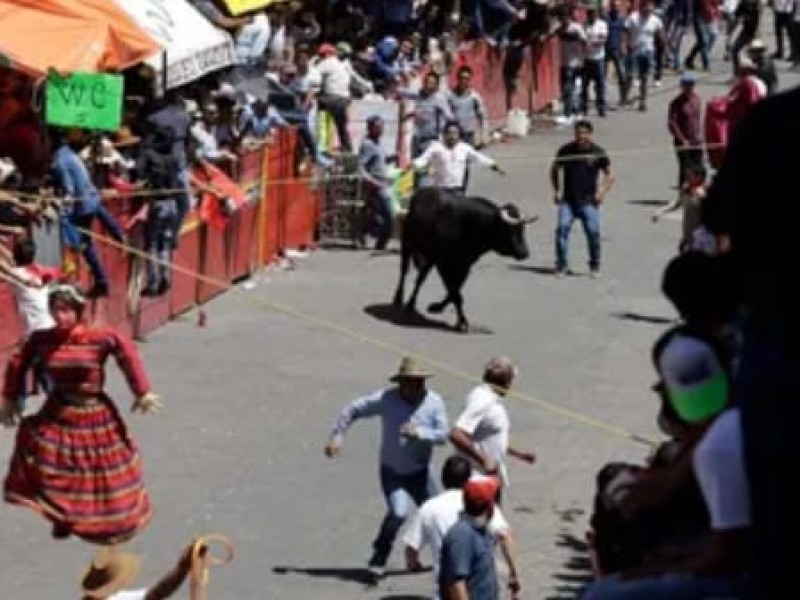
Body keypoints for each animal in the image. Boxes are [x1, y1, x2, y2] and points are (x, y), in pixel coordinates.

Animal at [392, 190, 536, 332]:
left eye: (522, 229)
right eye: (510, 230)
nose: (525, 253)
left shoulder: (465, 266)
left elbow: (454, 291)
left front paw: (438, 307)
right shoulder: (444, 264)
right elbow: (455, 292)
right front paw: (462, 322)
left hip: (430, 257)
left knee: (421, 278)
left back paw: (411, 304)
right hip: (407, 245)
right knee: (404, 271)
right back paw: (398, 298)